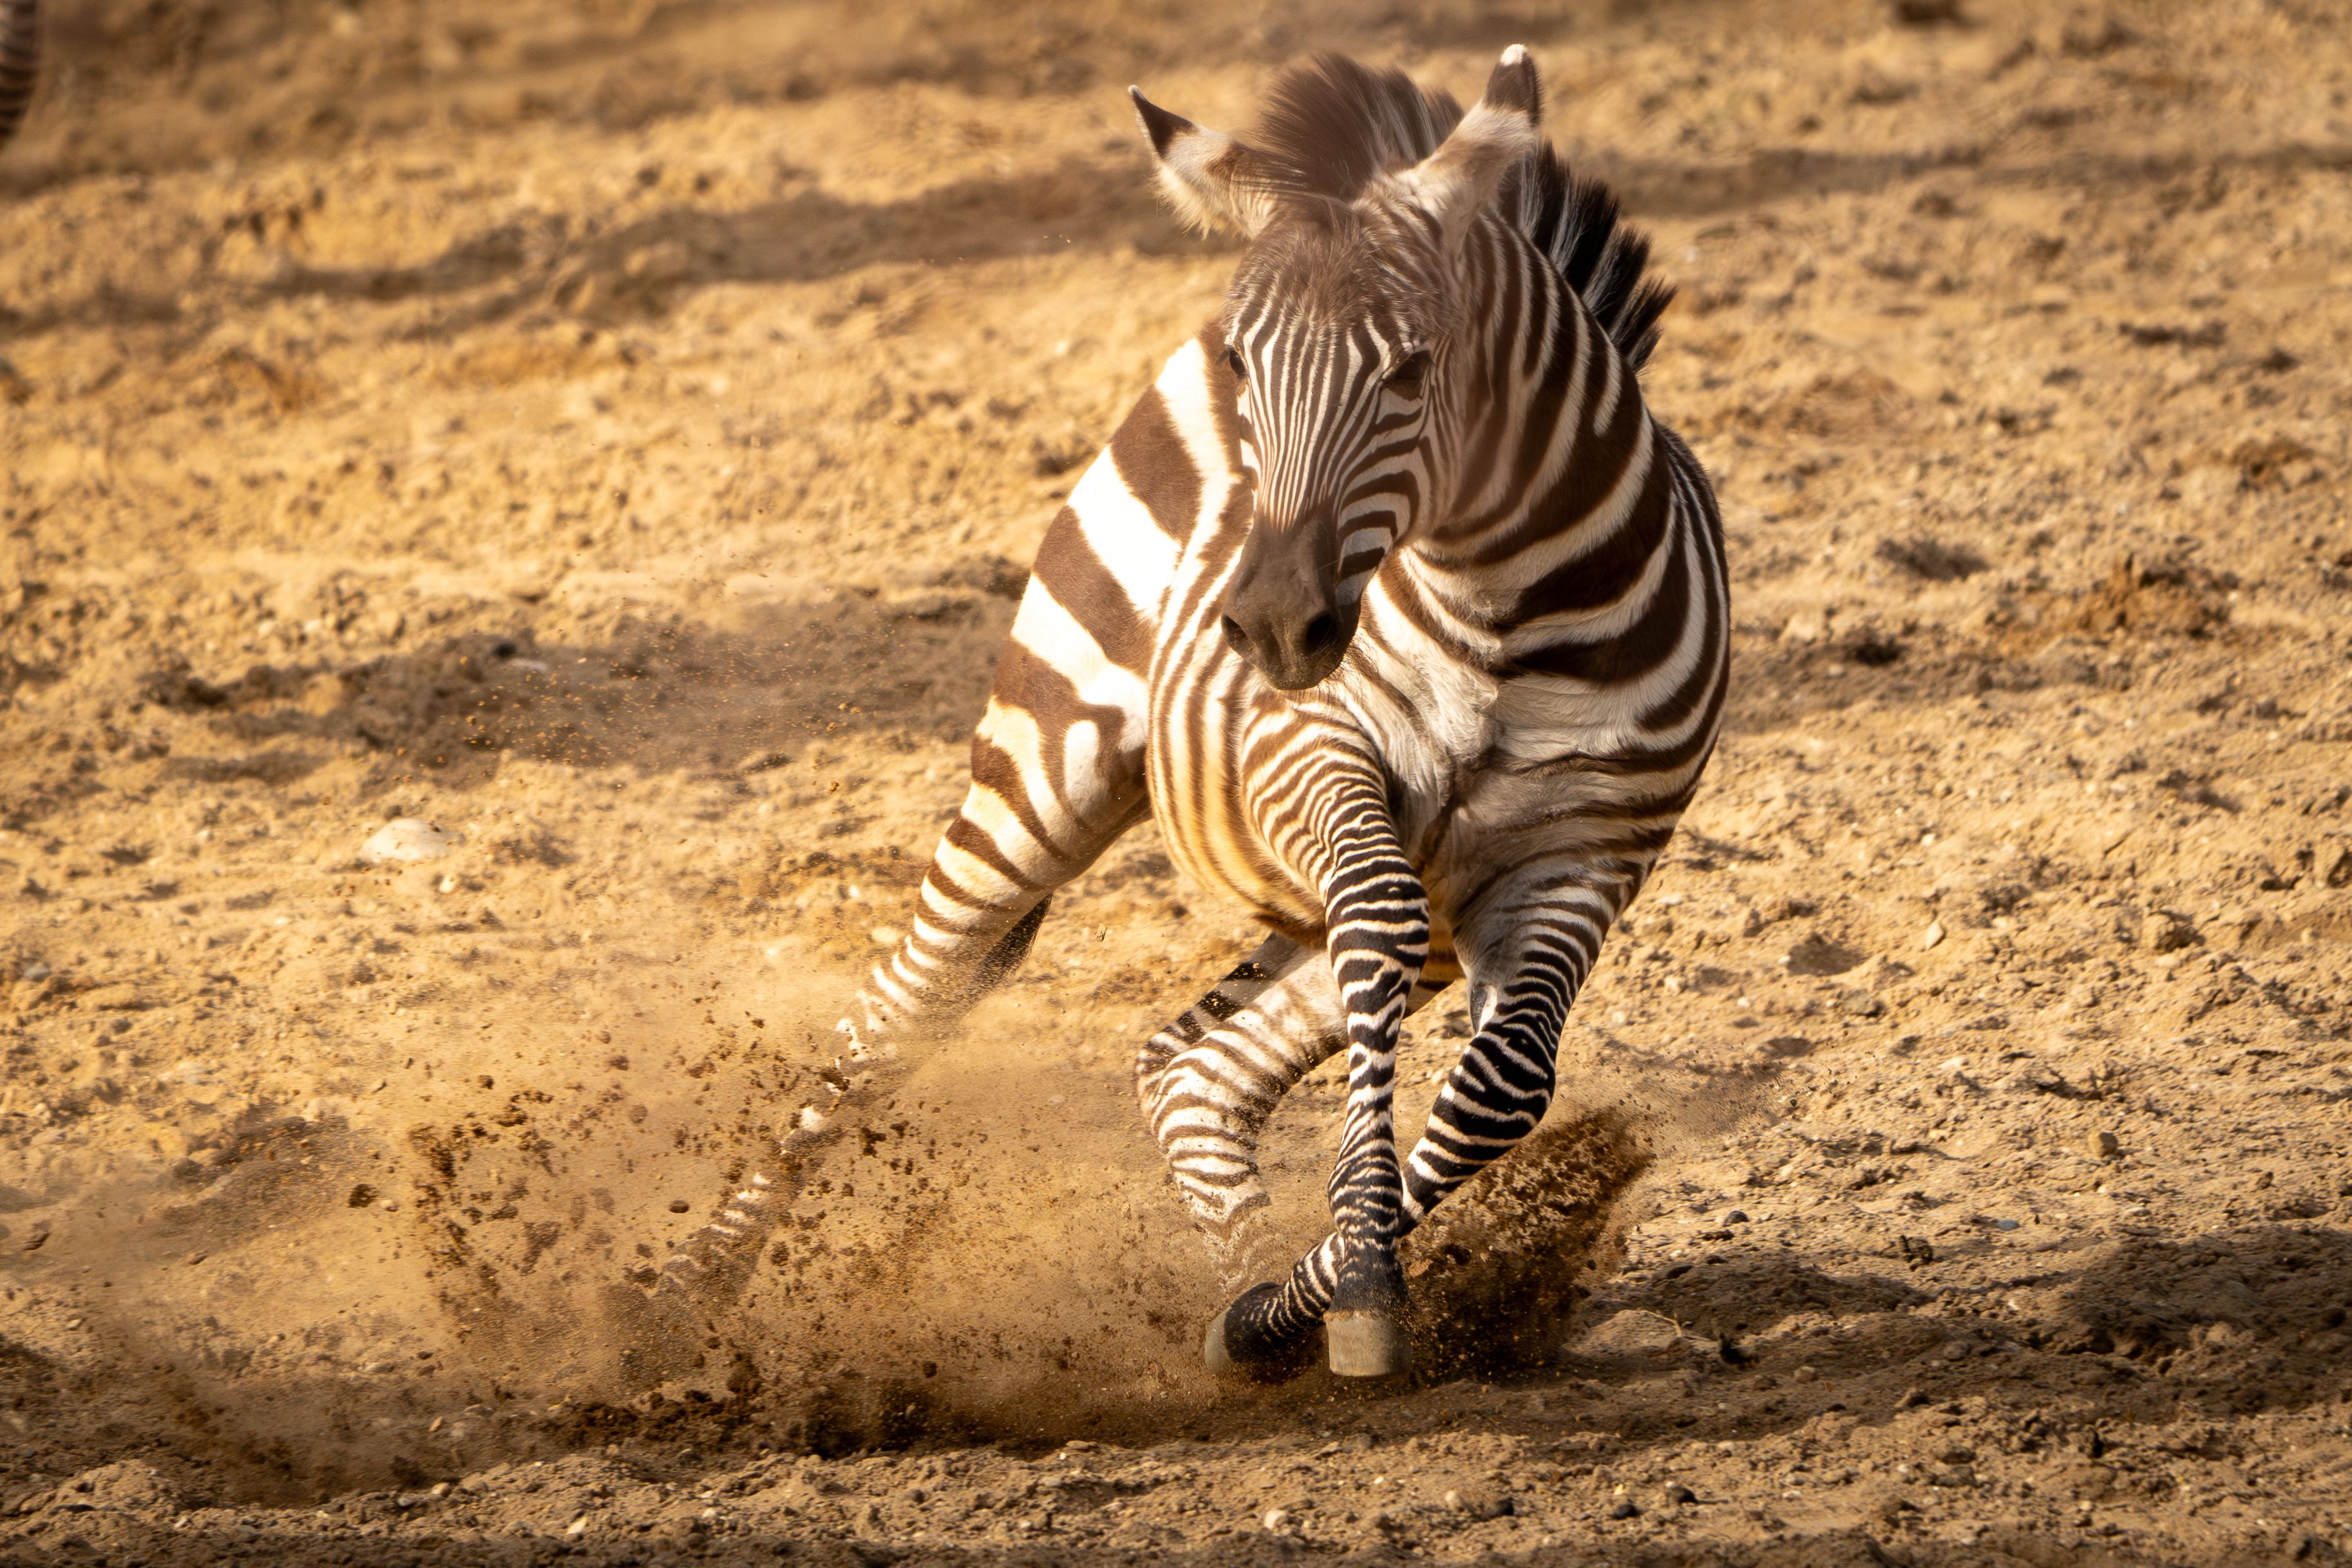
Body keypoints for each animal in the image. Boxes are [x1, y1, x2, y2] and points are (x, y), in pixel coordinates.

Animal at [648, 45, 1727, 1382]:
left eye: (1412, 370)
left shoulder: (1584, 855)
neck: (1503, 609)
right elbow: (1378, 934)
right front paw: (1362, 1274)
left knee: (1192, 1066)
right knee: (900, 1012)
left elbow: (1502, 1087)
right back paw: (678, 1306)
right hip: (1047, 764)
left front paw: (1321, 1293)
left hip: (1412, 895)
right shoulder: (1306, 752)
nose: (1265, 626)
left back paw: (1250, 1300)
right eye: (1245, 369)